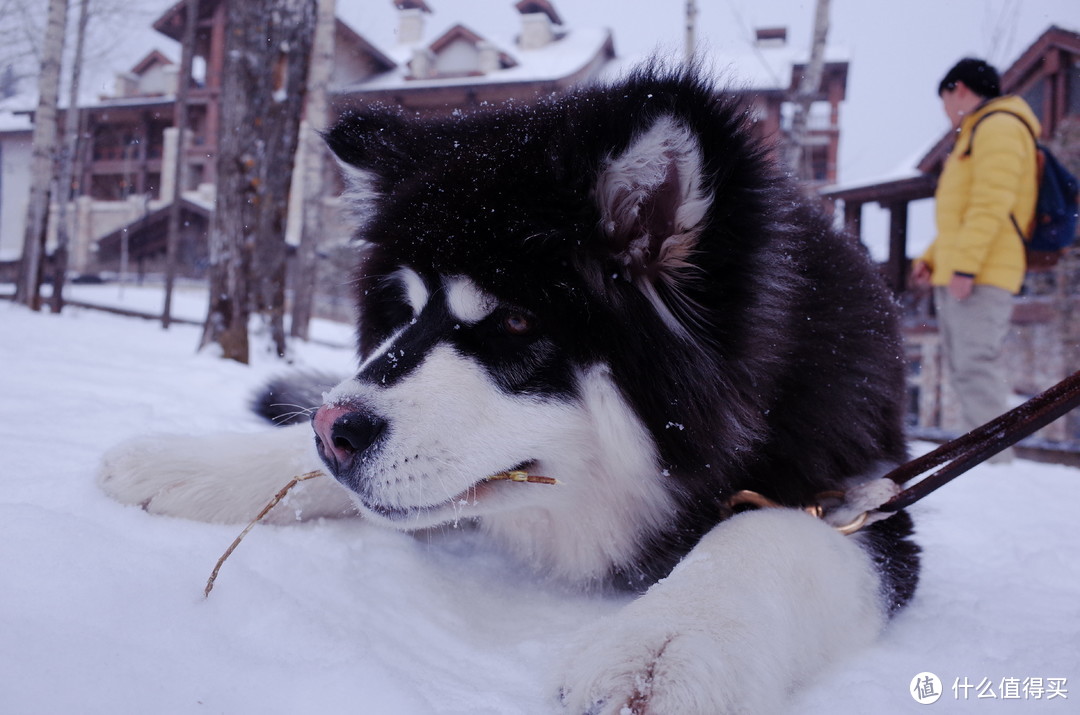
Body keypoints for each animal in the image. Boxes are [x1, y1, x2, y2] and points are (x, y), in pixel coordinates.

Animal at [101, 67, 920, 715]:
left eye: (516, 321)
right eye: (404, 310)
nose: (333, 430)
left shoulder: (866, 496)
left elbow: (766, 533)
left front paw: (667, 643)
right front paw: (188, 464)